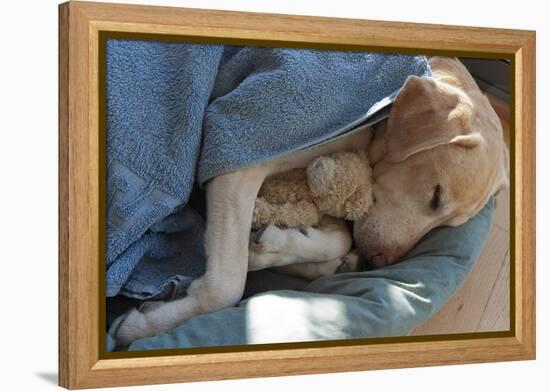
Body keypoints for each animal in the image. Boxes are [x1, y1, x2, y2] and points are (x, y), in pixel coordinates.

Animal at [110, 57, 512, 346]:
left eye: (445, 225)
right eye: (436, 195)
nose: (378, 263)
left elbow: (339, 239)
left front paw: (278, 247)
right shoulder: (239, 154)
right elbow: (227, 285)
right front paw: (145, 325)